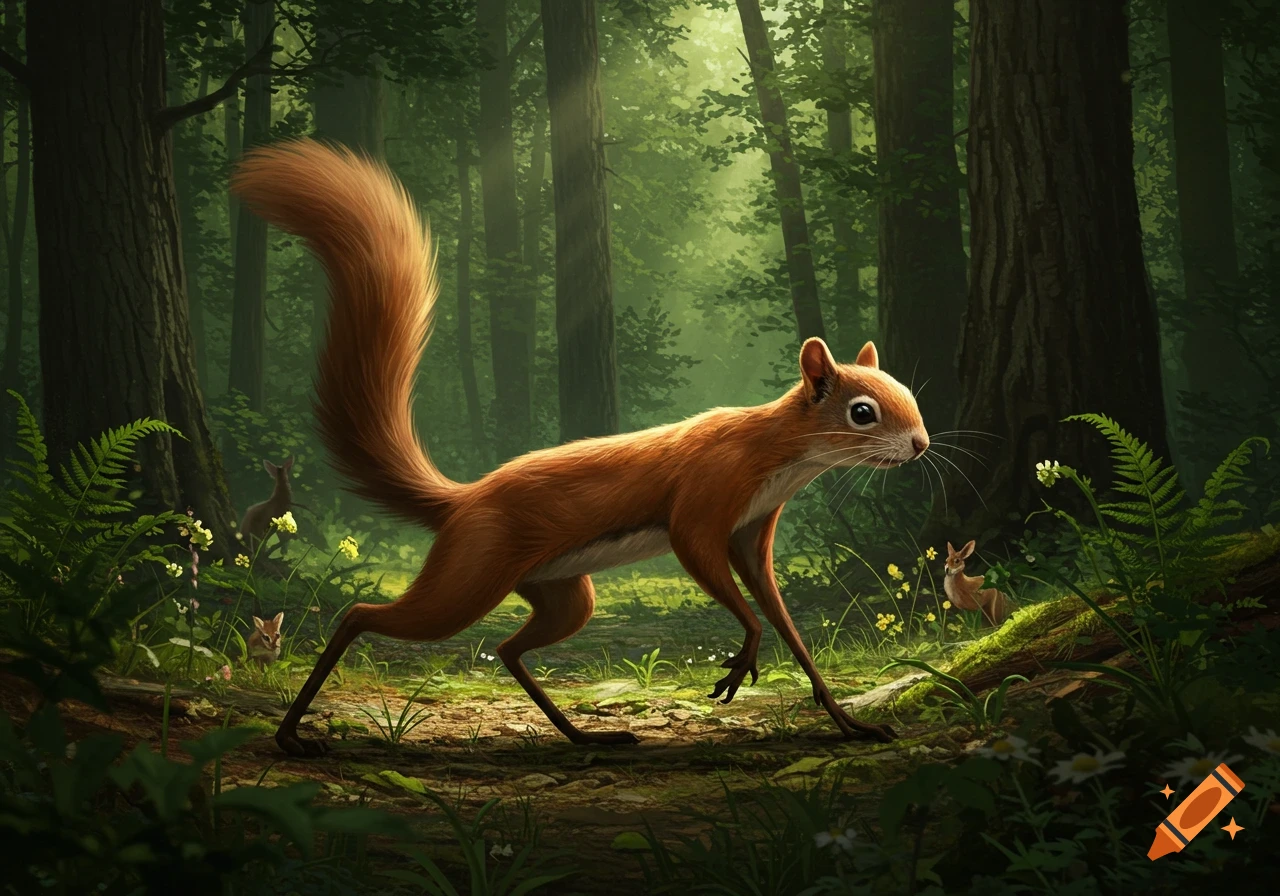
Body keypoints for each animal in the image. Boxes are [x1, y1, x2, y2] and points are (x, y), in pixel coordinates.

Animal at [230, 139, 931, 758]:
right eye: (863, 412)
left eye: (906, 392)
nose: (922, 444)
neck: (779, 452)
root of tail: (462, 501)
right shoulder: (703, 506)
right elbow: (718, 575)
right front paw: (744, 660)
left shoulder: (752, 532)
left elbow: (790, 629)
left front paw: (850, 723)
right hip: (468, 575)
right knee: (362, 616)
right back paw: (292, 734)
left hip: (564, 595)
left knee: (510, 651)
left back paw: (586, 736)